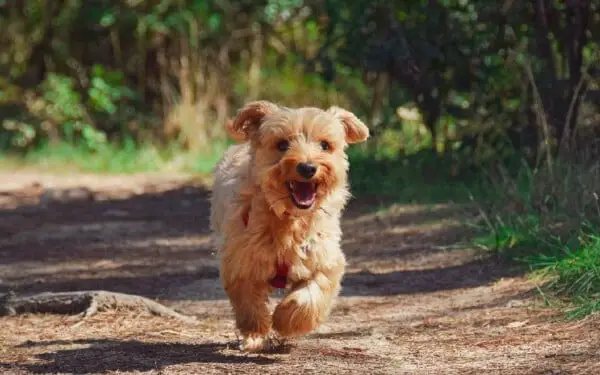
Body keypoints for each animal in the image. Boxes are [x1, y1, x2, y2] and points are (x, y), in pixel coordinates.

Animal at [211, 100, 370, 352]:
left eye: (325, 145)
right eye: (282, 144)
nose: (307, 167)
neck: (289, 219)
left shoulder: (324, 259)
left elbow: (310, 295)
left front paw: (285, 319)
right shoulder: (241, 260)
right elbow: (249, 302)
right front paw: (256, 331)